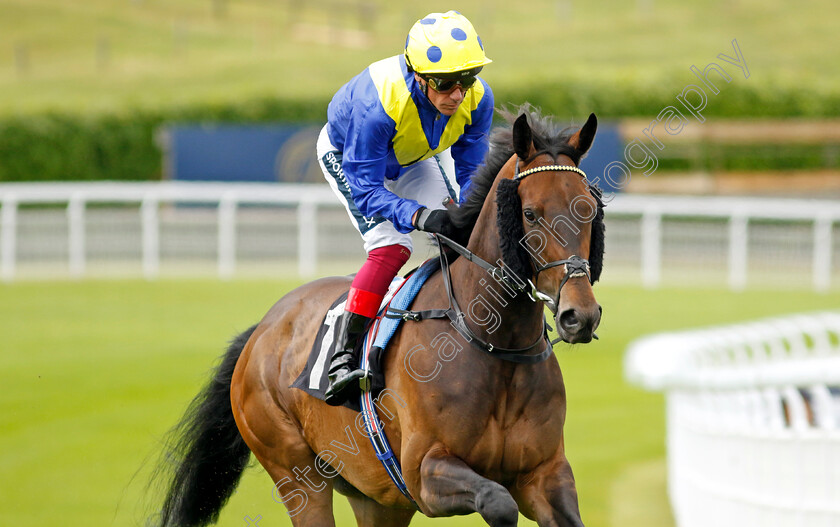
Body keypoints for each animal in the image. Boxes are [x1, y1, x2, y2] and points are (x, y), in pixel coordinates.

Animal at [153, 107, 604, 527]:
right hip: (293, 471)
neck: (494, 343)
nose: (579, 315)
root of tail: (261, 331)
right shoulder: (424, 473)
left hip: (377, 497)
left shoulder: (545, 473)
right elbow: (498, 502)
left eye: (590, 210)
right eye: (530, 213)